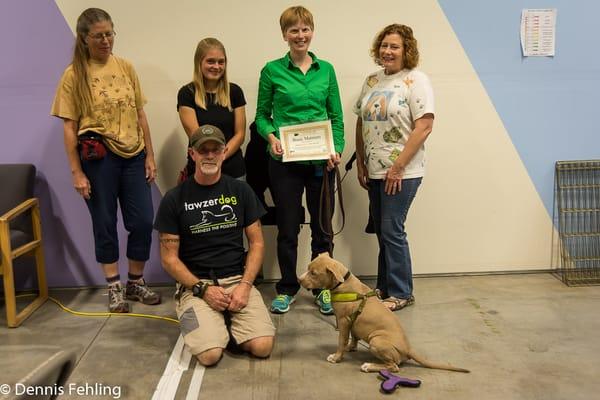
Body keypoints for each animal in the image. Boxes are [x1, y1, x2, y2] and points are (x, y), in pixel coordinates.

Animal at [298, 255, 472, 374]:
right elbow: (353, 337)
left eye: (313, 273)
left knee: (394, 367)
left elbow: (341, 340)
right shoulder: (352, 322)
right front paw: (351, 347)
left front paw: (337, 357)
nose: (299, 280)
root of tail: (408, 349)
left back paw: (369, 366)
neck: (342, 283)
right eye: (308, 268)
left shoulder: (343, 321)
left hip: (376, 341)